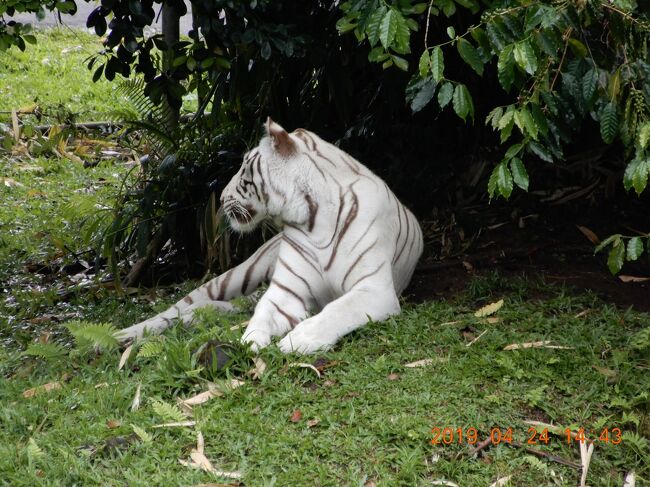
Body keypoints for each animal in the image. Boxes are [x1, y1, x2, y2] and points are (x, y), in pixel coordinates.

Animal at [114, 118, 422, 354]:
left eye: (244, 168)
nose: (221, 197)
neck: (314, 220)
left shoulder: (374, 290)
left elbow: (337, 310)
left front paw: (299, 340)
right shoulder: (285, 292)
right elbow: (264, 314)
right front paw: (250, 341)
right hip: (238, 274)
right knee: (179, 307)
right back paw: (124, 335)